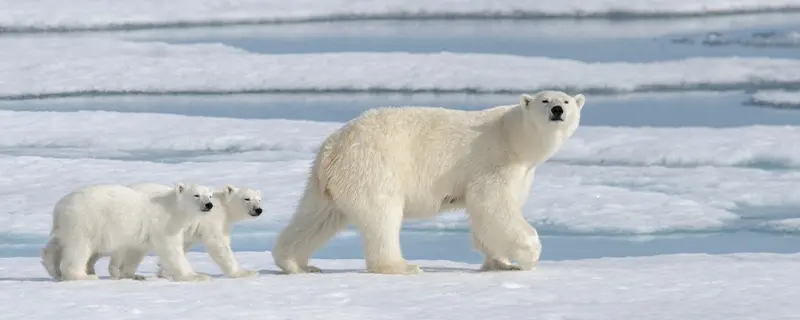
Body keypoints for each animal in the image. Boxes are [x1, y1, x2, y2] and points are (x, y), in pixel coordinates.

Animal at [40, 182, 216, 282]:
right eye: (196, 195)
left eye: (210, 195)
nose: (209, 205)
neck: (173, 208)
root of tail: (60, 206)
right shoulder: (163, 225)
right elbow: (172, 250)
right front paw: (197, 276)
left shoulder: (141, 234)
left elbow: (135, 251)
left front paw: (133, 275)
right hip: (86, 221)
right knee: (79, 248)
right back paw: (82, 276)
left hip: (71, 225)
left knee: (57, 243)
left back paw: (53, 268)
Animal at [120, 184, 262, 278]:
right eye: (247, 198)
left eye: (259, 199)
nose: (258, 210)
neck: (224, 207)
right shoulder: (213, 221)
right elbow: (219, 244)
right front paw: (244, 272)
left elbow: (183, 245)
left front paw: (165, 271)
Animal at [272, 90, 584, 276]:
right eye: (545, 100)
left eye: (567, 101)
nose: (558, 110)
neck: (514, 136)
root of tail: (332, 148)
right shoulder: (494, 162)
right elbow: (492, 205)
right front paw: (529, 256)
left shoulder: (521, 172)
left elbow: (487, 216)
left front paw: (499, 264)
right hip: (374, 168)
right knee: (381, 216)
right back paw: (402, 266)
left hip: (328, 183)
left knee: (317, 218)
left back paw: (296, 264)